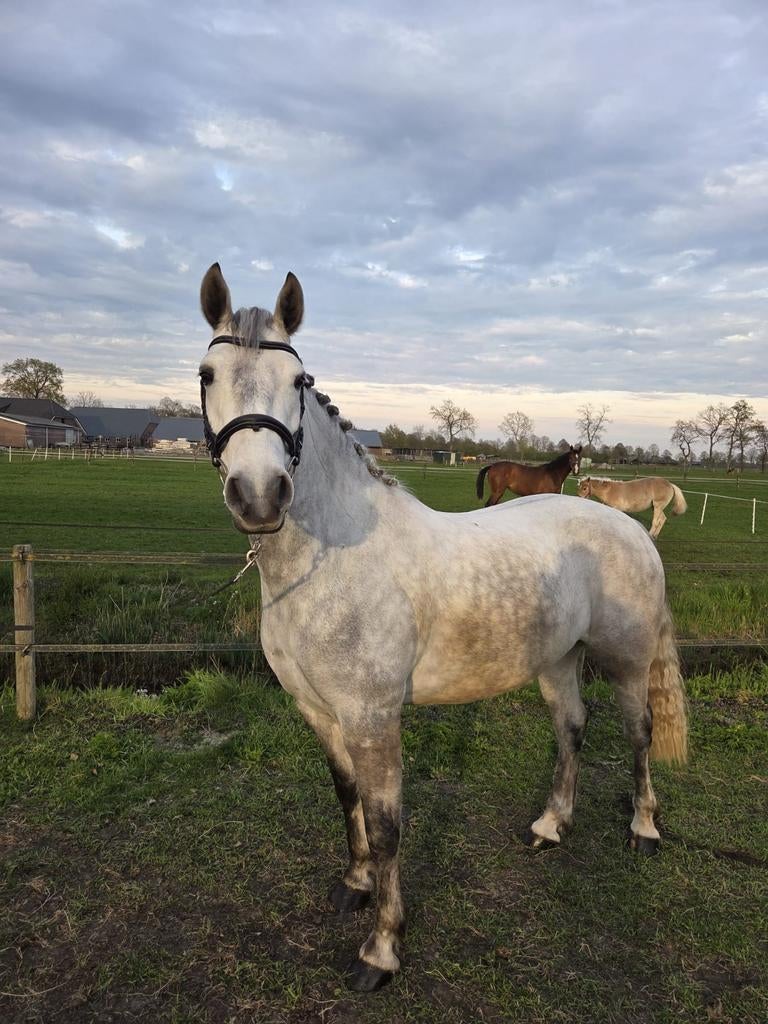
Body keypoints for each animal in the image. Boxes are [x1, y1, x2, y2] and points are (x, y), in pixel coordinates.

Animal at [198, 263, 687, 992]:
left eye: (298, 381)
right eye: (207, 374)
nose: (259, 496)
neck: (330, 558)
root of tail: (631, 528)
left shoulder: (372, 716)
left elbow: (387, 825)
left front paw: (381, 950)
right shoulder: (317, 710)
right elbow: (348, 798)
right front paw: (356, 884)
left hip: (625, 661)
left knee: (638, 732)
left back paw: (644, 830)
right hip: (556, 660)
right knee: (572, 727)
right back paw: (550, 825)